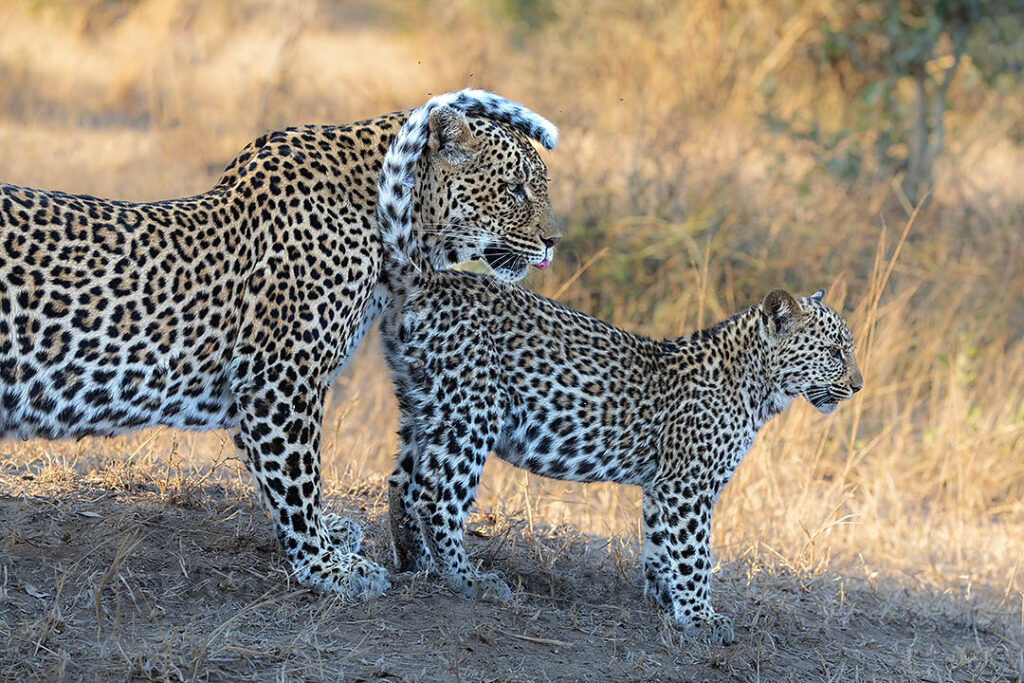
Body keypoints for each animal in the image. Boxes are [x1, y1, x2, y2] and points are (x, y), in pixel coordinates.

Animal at [0, 89, 562, 599]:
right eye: (515, 189)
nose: (554, 241)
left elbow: (275, 472)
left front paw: (331, 539)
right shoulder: (281, 375)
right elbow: (298, 475)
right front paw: (325, 565)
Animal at [373, 114, 862, 642]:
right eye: (835, 352)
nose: (858, 386)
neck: (761, 387)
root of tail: (430, 278)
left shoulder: (662, 486)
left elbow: (661, 546)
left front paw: (666, 600)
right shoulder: (688, 485)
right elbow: (694, 553)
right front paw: (701, 618)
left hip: (425, 405)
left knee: (401, 483)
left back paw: (418, 565)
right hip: (471, 412)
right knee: (434, 496)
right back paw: (468, 580)